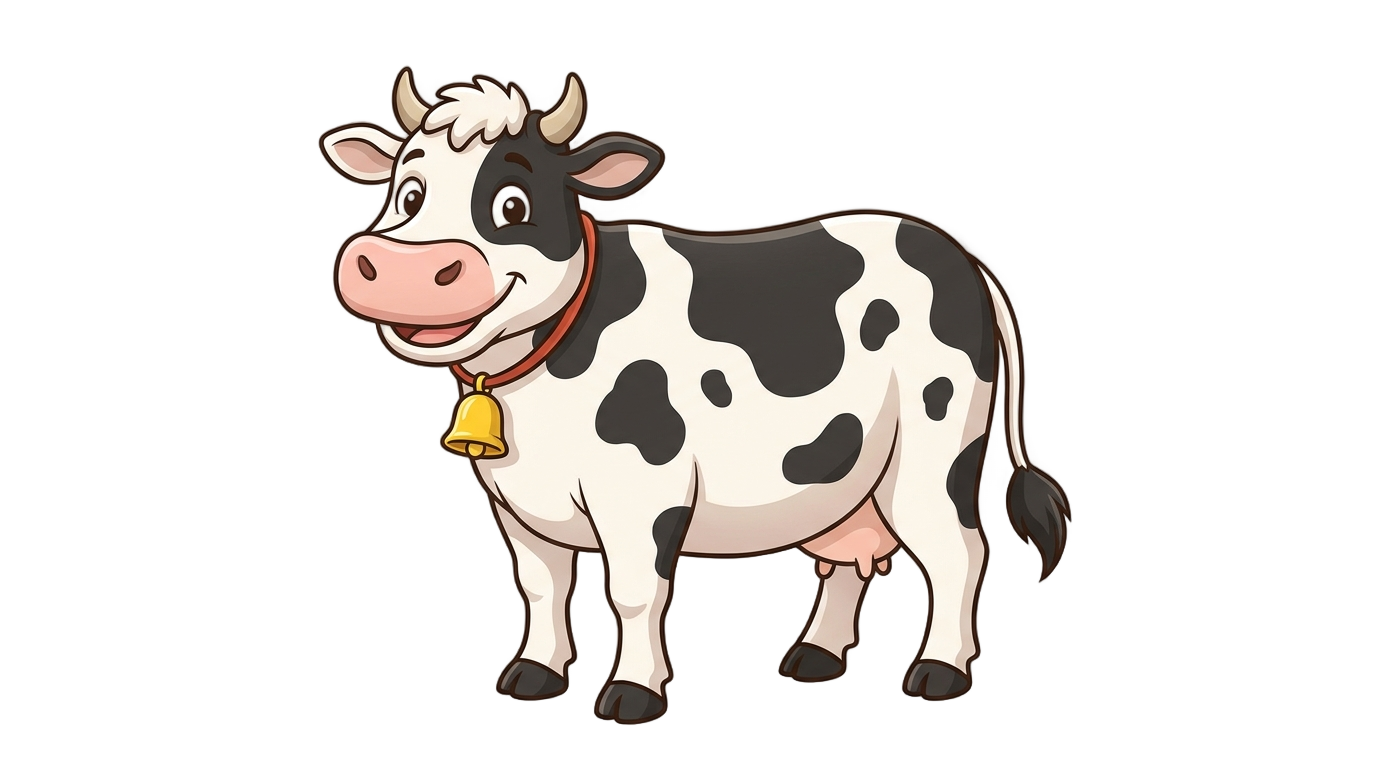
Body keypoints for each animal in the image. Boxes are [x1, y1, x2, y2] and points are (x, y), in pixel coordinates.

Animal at [318, 69, 1071, 724]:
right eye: (408, 193)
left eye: (513, 205)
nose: (402, 268)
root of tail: (958, 254)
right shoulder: (514, 501)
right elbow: (540, 586)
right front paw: (532, 676)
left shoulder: (643, 490)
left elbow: (633, 593)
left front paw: (631, 696)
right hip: (847, 470)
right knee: (850, 554)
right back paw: (814, 658)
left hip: (934, 447)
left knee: (958, 552)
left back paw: (938, 673)